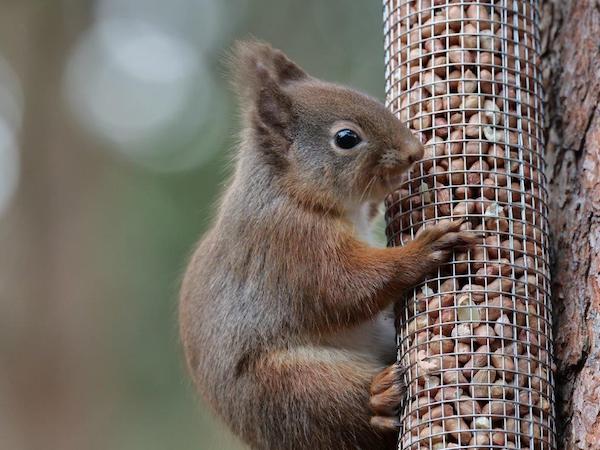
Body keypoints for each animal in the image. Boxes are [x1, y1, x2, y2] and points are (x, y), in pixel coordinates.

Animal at [178, 40, 478, 448]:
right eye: (346, 139)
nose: (415, 152)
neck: (294, 194)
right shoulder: (291, 242)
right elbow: (343, 286)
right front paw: (423, 249)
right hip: (292, 386)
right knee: (341, 416)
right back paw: (379, 398)